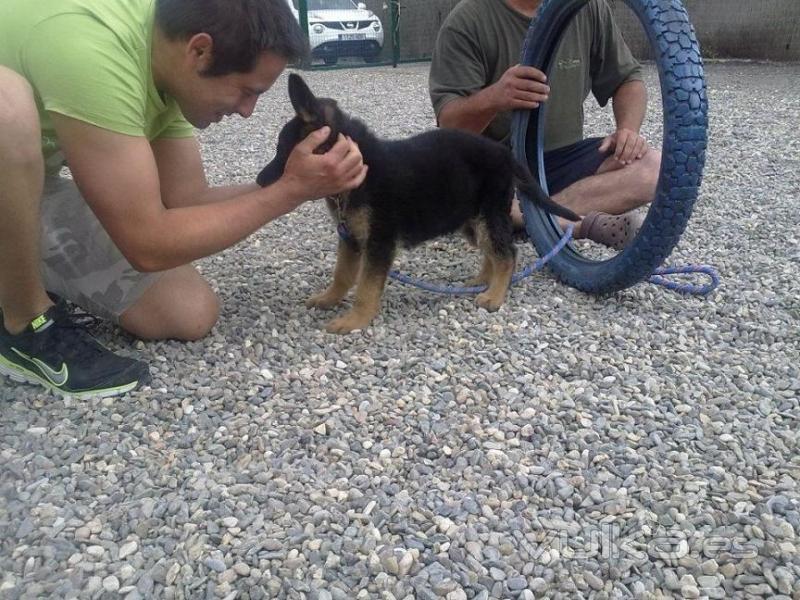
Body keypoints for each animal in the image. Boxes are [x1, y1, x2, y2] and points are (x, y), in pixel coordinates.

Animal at [260, 74, 580, 332]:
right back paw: (482, 281)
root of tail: (505, 154)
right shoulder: (350, 239)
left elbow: (365, 287)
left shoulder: (378, 243)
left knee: (507, 254)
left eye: (283, 150)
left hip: (488, 215)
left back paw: (494, 295)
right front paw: (329, 298)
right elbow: (342, 275)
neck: (361, 166)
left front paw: (355, 320)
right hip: (473, 220)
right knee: (493, 252)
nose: (260, 182)